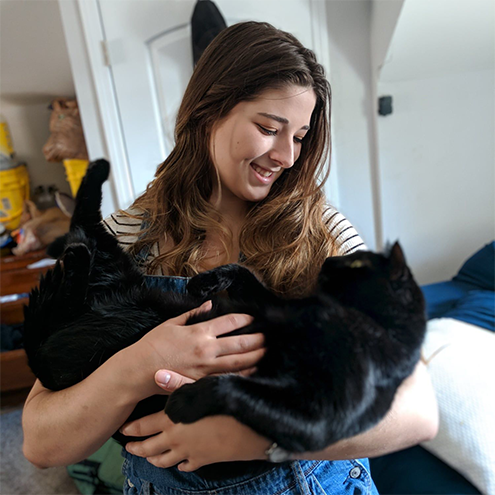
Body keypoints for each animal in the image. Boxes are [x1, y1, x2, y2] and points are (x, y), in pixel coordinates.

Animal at [22, 161, 426, 456]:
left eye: (355, 263)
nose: (328, 263)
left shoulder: (315, 417)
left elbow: (235, 389)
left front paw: (186, 400)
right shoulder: (268, 304)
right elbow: (244, 273)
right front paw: (205, 282)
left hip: (75, 326)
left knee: (77, 257)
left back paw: (75, 253)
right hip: (106, 269)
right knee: (83, 228)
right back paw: (95, 179)